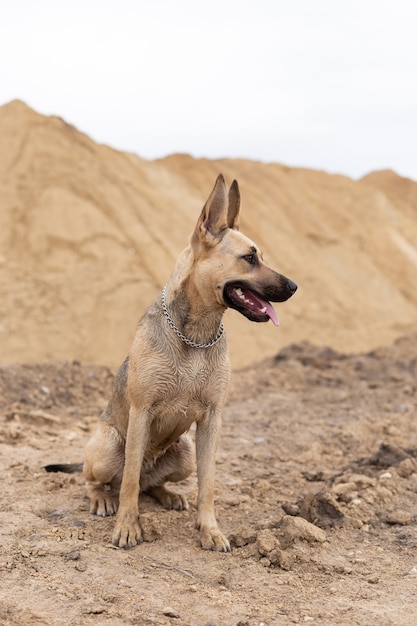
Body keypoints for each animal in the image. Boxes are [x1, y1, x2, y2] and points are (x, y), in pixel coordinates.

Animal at [48, 173, 296, 548]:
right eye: (249, 258)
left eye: (260, 256)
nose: (294, 286)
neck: (196, 335)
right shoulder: (142, 412)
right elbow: (130, 482)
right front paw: (127, 526)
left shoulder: (211, 420)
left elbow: (208, 485)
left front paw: (209, 529)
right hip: (108, 446)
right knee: (109, 480)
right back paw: (103, 498)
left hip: (186, 453)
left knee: (150, 484)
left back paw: (167, 494)